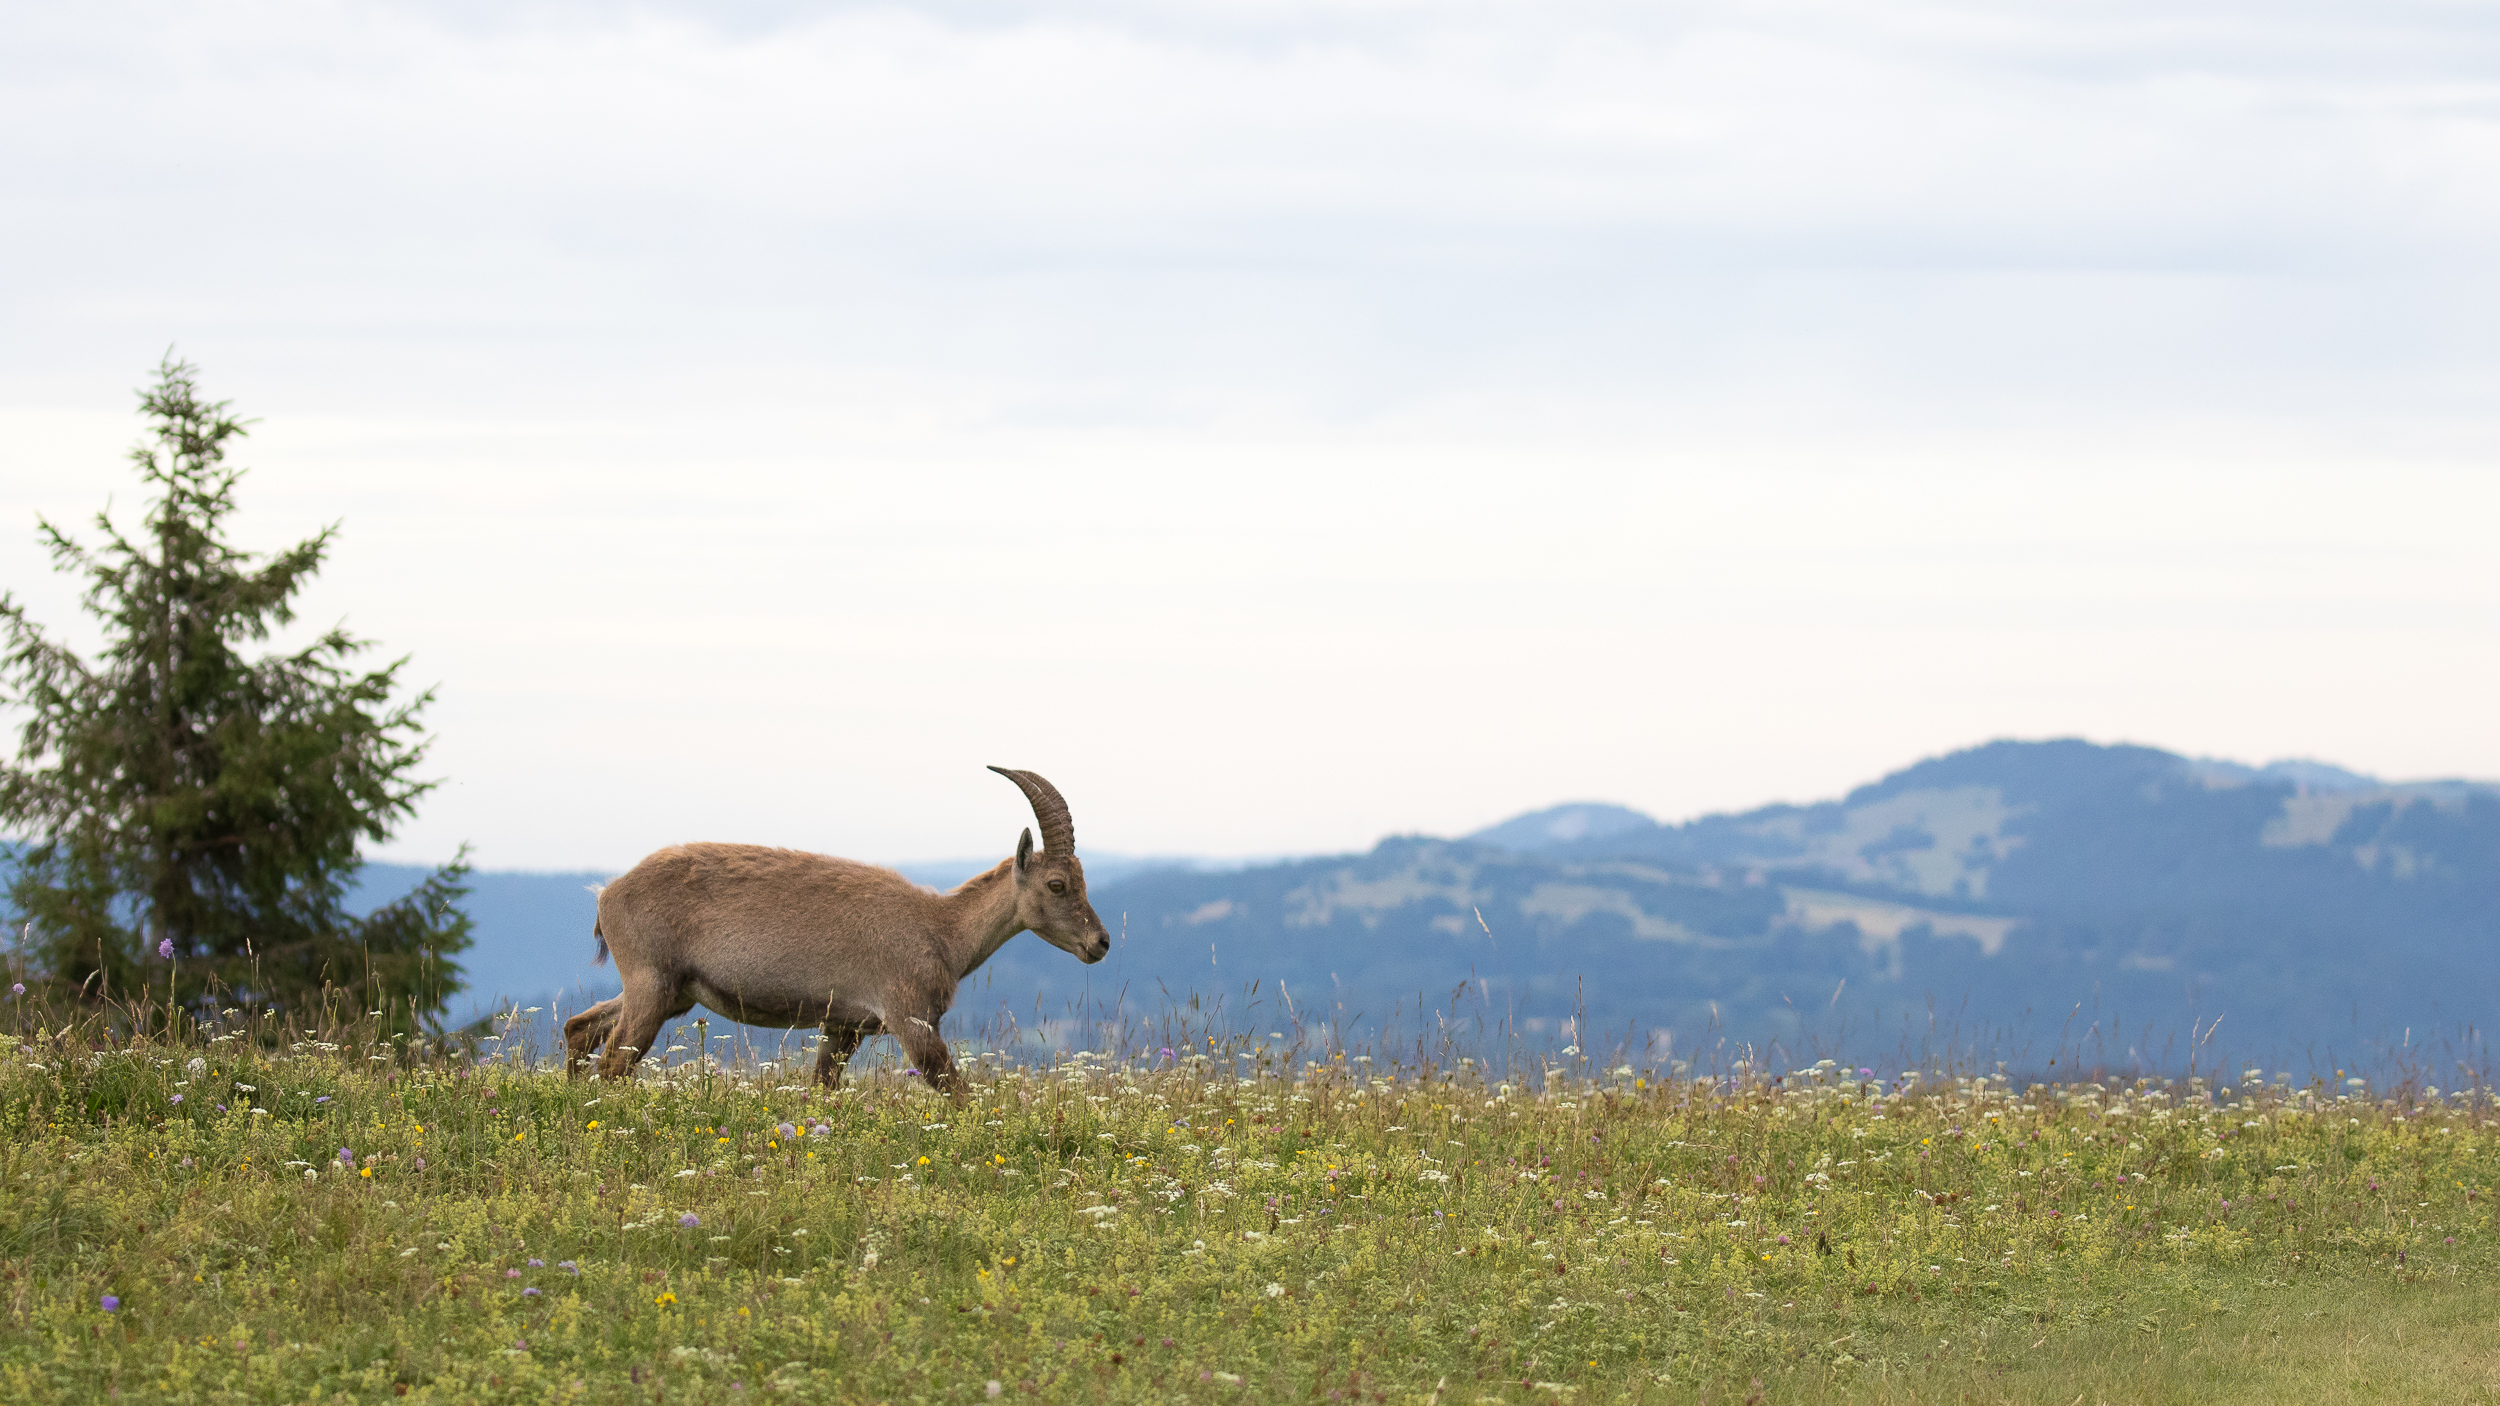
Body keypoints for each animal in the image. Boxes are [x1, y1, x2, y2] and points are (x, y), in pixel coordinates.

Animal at [562, 766, 1109, 1097]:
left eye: (1084, 880)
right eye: (1057, 884)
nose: (1100, 943)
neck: (941, 930)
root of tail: (608, 894)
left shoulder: (843, 1026)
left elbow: (822, 1087)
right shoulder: (910, 1017)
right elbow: (956, 1091)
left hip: (670, 991)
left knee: (580, 1027)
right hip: (651, 983)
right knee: (613, 1063)